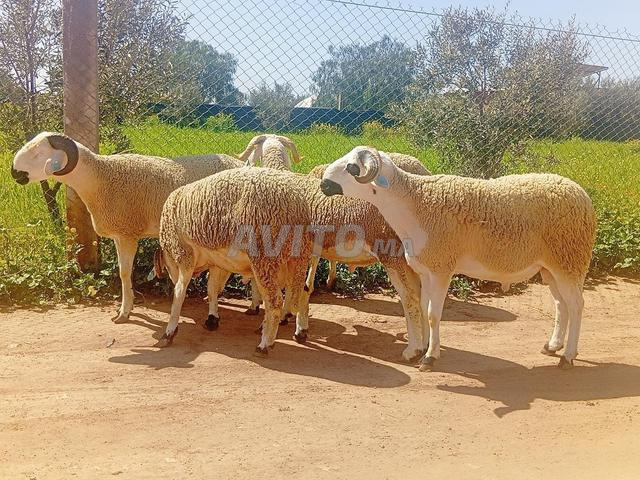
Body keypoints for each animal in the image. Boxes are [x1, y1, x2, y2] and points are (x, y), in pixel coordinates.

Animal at [11, 132, 242, 325]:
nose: (15, 173)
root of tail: (239, 161)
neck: (100, 178)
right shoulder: (118, 234)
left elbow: (124, 272)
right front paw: (126, 309)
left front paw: (123, 312)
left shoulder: (128, 233)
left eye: (39, 153)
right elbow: (123, 272)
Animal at [157, 167, 313, 355]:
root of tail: (297, 207)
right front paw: (212, 319)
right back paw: (299, 332)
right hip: (295, 259)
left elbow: (180, 292)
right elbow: (212, 289)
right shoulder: (216, 262)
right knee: (302, 291)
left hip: (265, 258)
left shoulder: (185, 255)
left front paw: (169, 332)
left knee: (274, 302)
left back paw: (264, 344)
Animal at [320, 146, 597, 370]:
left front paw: (429, 358)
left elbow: (433, 314)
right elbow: (422, 308)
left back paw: (568, 356)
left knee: (576, 305)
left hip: (570, 260)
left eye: (352, 167)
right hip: (550, 266)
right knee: (562, 305)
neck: (414, 204)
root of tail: (580, 193)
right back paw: (553, 346)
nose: (323, 184)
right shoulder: (426, 269)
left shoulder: (441, 268)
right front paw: (417, 350)